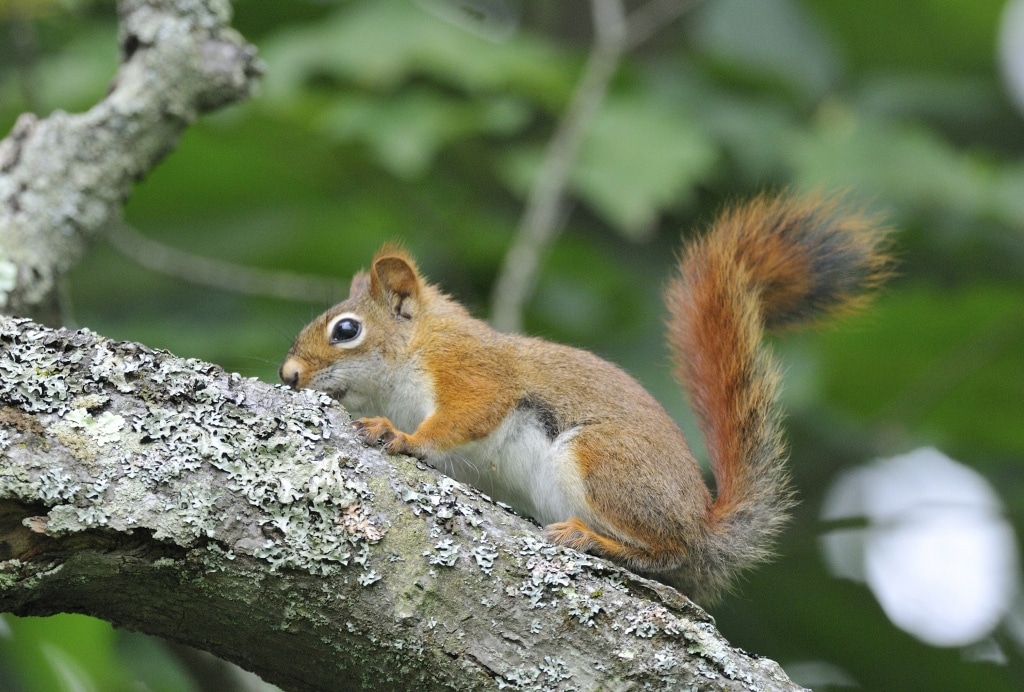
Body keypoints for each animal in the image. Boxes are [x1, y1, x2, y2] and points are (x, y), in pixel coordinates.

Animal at [278, 194, 888, 606]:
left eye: (347, 330)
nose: (288, 375)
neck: (418, 346)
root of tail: (703, 525)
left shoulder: (472, 372)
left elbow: (466, 415)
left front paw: (399, 436)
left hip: (601, 461)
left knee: (666, 551)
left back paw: (591, 538)